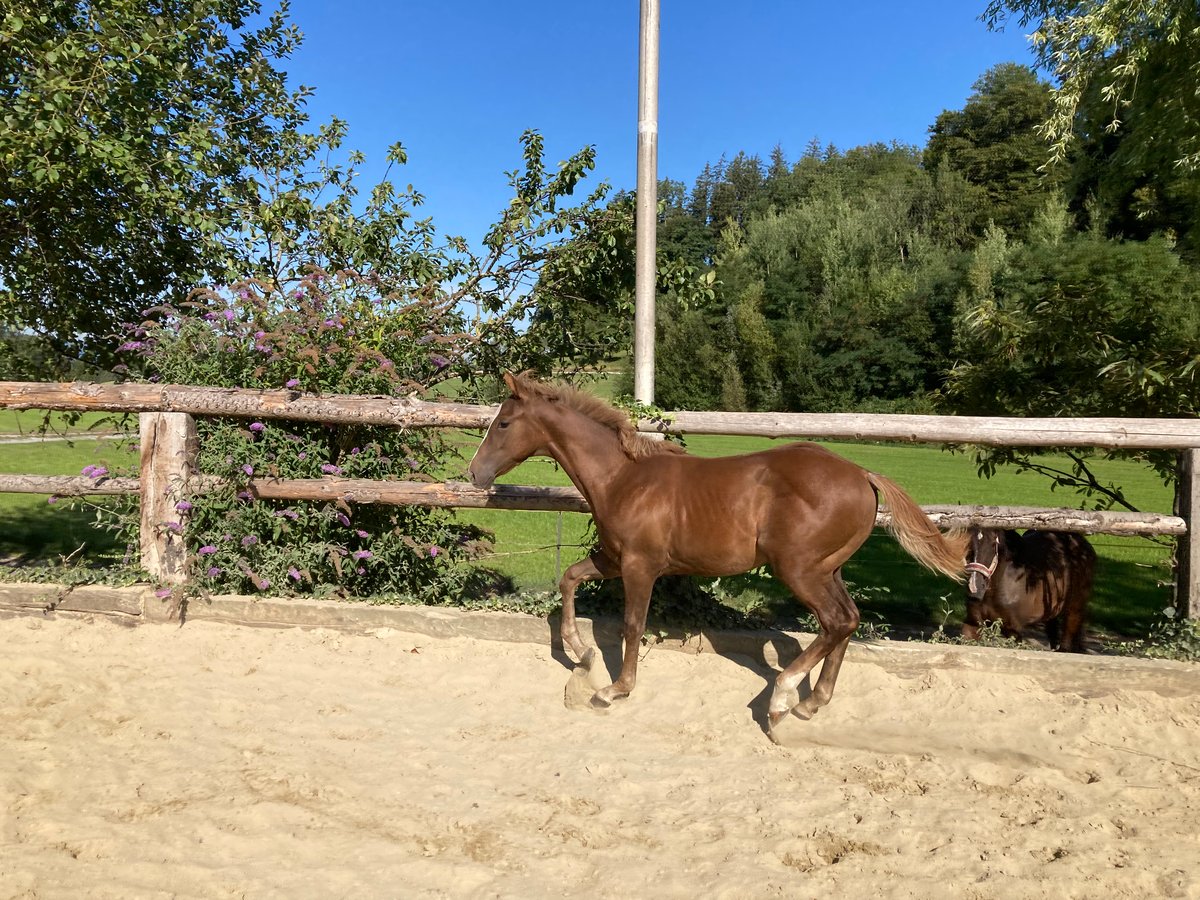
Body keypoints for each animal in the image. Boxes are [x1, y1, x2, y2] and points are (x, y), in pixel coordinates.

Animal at [964, 528, 1099, 657]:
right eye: (966, 542)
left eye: (993, 544)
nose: (975, 588)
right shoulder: (972, 624)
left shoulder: (1013, 630)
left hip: (1074, 610)